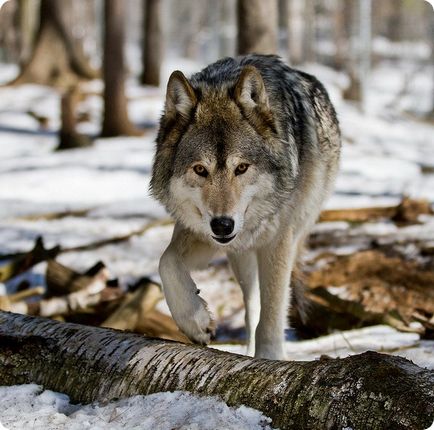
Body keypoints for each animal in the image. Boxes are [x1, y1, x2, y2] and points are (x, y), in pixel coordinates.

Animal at [151, 55, 340, 362]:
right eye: (200, 170)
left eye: (241, 168)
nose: (223, 225)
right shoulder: (202, 231)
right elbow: (166, 261)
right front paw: (195, 321)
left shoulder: (278, 241)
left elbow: (272, 315)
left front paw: (271, 360)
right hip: (241, 259)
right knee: (252, 310)